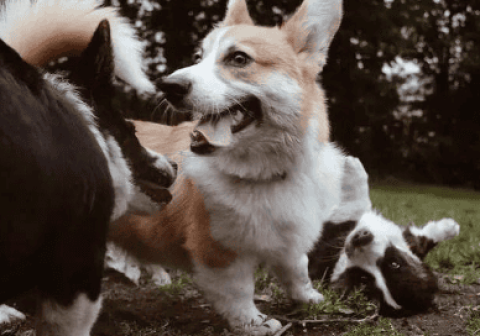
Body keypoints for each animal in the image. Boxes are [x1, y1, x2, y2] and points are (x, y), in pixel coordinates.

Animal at [310, 158, 460, 316]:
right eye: (395, 263)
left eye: (362, 280)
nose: (361, 238)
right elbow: (421, 239)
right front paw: (451, 226)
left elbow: (353, 208)